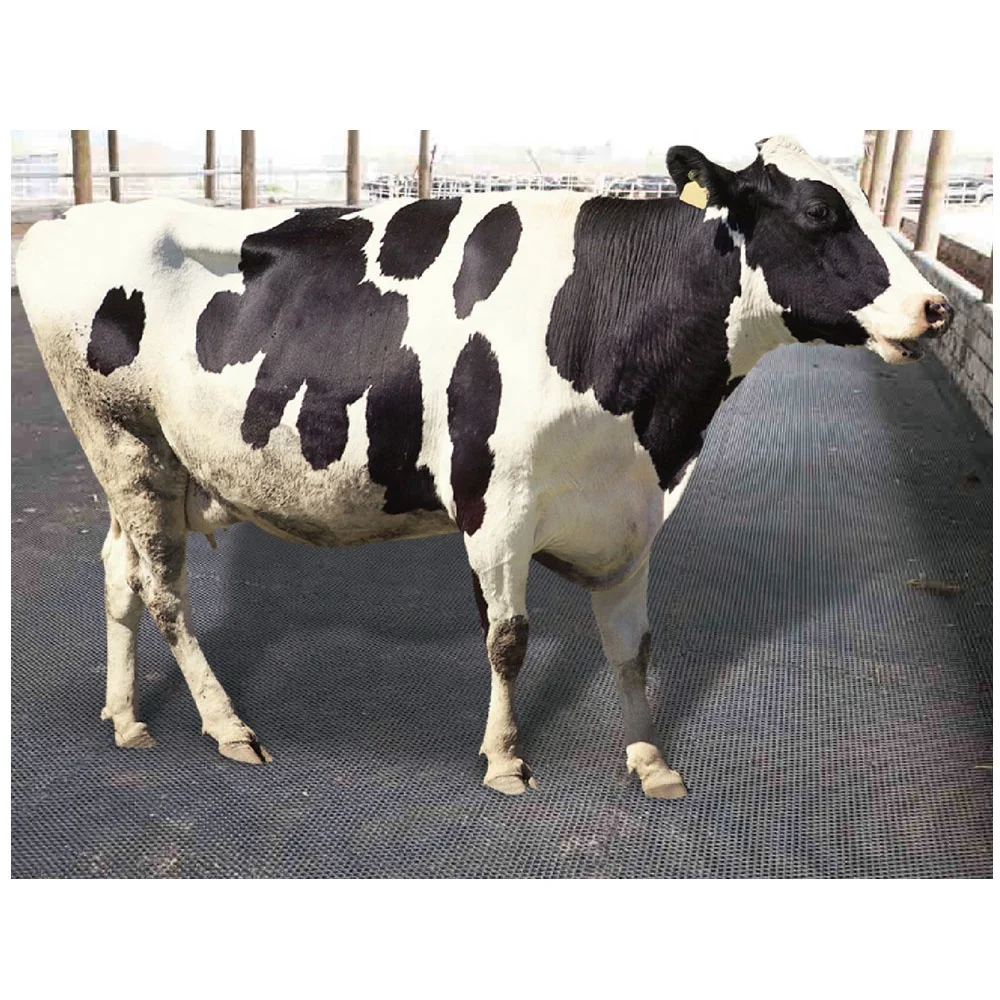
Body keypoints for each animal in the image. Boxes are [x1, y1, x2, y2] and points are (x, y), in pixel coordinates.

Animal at [16, 135, 953, 800]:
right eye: (821, 213)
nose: (936, 307)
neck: (654, 418)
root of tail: (69, 218)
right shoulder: (496, 504)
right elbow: (508, 639)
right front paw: (506, 760)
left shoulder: (631, 512)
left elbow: (634, 648)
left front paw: (650, 759)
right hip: (125, 443)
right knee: (165, 591)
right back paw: (226, 727)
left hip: (149, 467)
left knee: (119, 572)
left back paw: (125, 715)